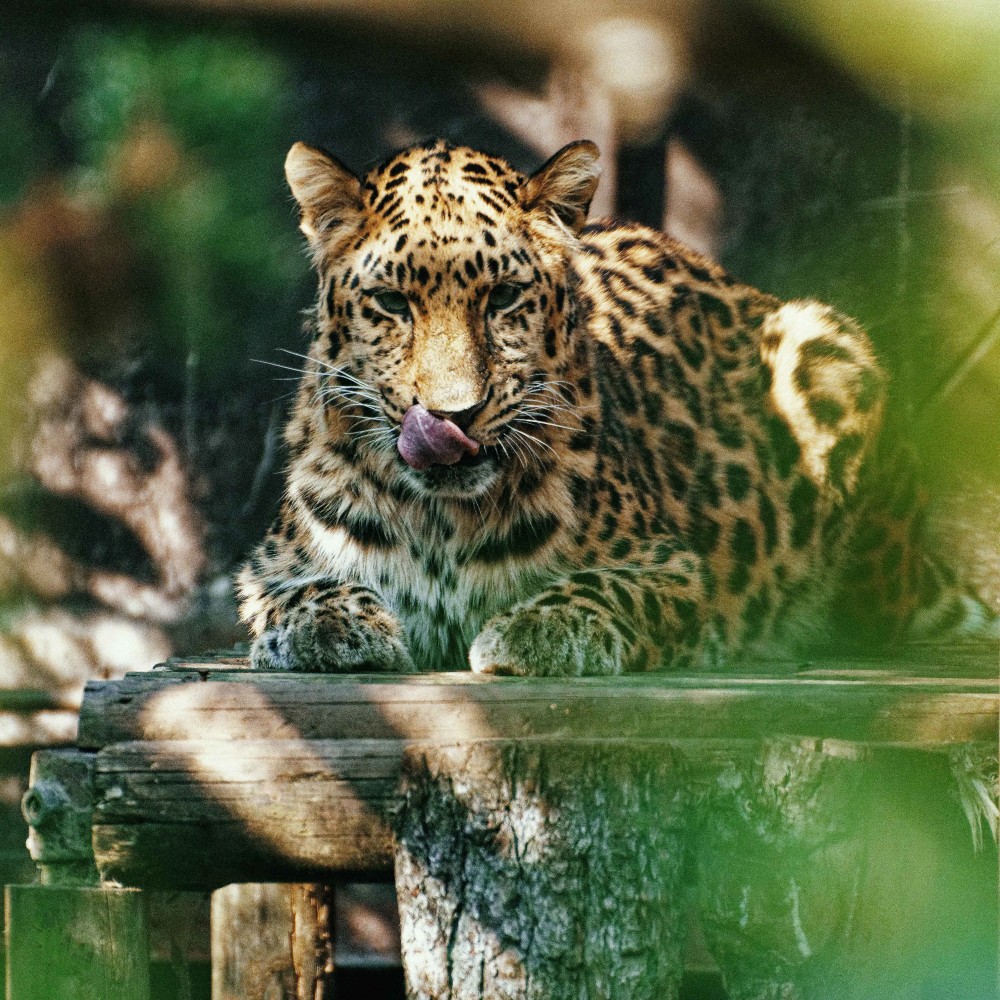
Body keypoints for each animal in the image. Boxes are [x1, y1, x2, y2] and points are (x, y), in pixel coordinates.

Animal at [236, 137, 997, 678]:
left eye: (503, 297)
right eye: (393, 303)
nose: (452, 417)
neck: (442, 520)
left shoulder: (676, 569)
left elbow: (605, 588)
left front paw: (539, 629)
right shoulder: (266, 569)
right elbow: (299, 593)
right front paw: (335, 625)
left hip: (829, 350)